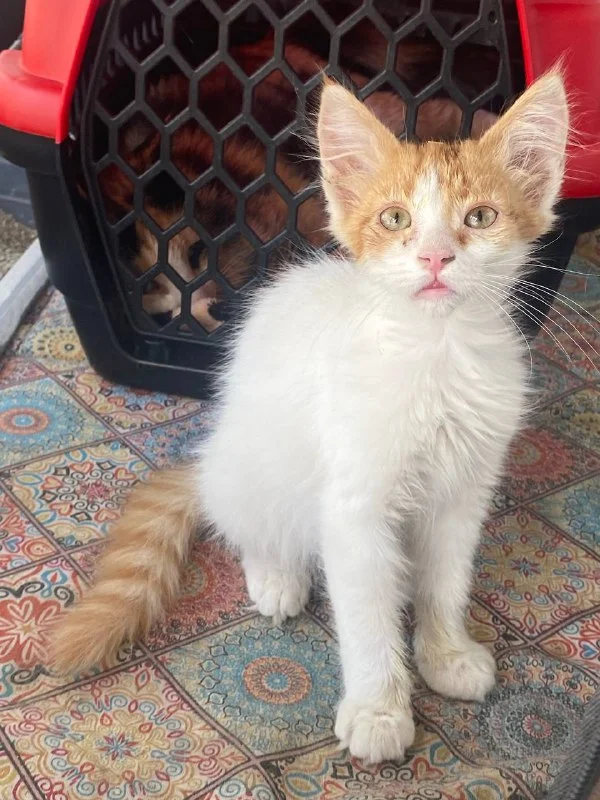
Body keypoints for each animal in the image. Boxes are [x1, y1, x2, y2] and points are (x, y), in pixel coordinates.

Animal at [51, 69, 568, 764]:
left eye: (480, 218)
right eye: (395, 218)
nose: (435, 258)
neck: (434, 355)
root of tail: (211, 461)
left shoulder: (464, 492)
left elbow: (446, 581)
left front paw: (447, 653)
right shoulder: (353, 507)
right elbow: (367, 614)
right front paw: (379, 710)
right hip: (259, 466)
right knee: (248, 526)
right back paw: (276, 576)